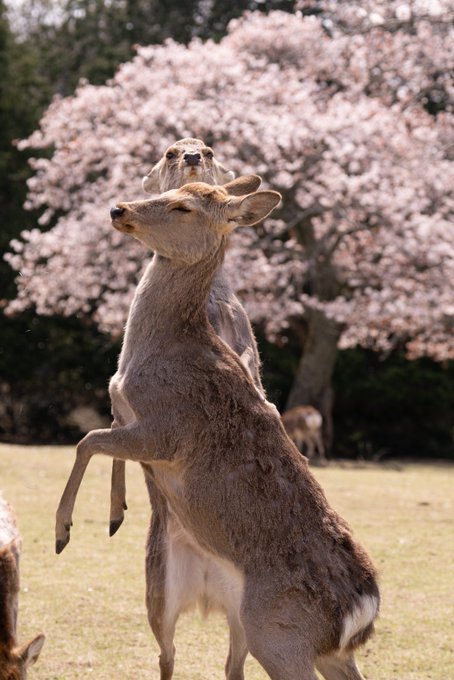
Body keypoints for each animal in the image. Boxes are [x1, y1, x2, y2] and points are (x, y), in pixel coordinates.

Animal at [56, 176, 379, 680]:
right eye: (167, 191)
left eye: (183, 208)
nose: (118, 209)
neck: (147, 356)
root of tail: (360, 613)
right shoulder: (126, 415)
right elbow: (102, 442)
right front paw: (115, 512)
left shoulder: (165, 430)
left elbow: (86, 441)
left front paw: (63, 530)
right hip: (294, 639)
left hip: (277, 632)